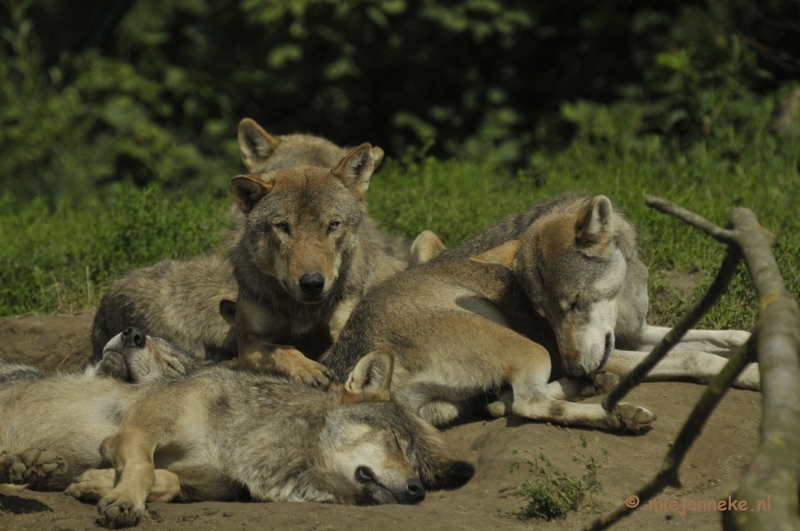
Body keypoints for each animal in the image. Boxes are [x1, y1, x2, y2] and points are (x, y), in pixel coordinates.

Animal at [0, 328, 472, 528]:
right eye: (393, 442)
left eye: (416, 462)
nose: (418, 490)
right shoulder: (135, 433)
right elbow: (143, 469)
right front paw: (123, 501)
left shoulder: (208, 482)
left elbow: (167, 480)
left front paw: (91, 483)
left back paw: (31, 466)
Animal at [322, 195, 760, 432]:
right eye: (543, 315)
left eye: (577, 303)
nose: (579, 367)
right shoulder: (603, 350)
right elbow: (698, 357)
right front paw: (753, 374)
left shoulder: (635, 334)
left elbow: (723, 336)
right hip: (533, 350)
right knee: (527, 404)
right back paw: (616, 411)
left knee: (510, 401)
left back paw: (591, 389)